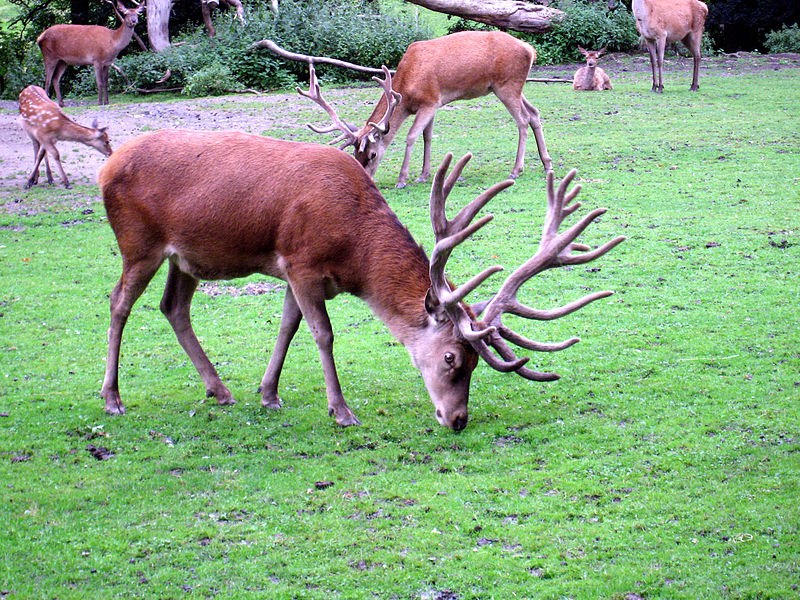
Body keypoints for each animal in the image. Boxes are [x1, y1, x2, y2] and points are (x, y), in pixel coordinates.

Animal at [98, 129, 624, 432]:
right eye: (452, 358)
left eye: (476, 363)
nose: (458, 420)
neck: (353, 251)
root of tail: (106, 164)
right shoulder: (302, 262)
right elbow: (323, 334)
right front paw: (342, 411)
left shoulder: (293, 271)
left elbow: (288, 327)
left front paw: (268, 395)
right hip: (139, 242)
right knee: (119, 303)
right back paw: (113, 399)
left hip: (186, 256)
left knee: (173, 307)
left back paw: (220, 390)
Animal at [260, 30, 552, 189]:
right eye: (355, 155)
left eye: (373, 154)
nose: (366, 179)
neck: (407, 86)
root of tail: (530, 49)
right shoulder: (433, 105)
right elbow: (427, 136)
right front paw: (424, 174)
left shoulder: (430, 100)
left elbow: (411, 136)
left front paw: (404, 178)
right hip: (514, 87)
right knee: (535, 113)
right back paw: (546, 162)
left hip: (507, 85)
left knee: (522, 120)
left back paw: (516, 169)